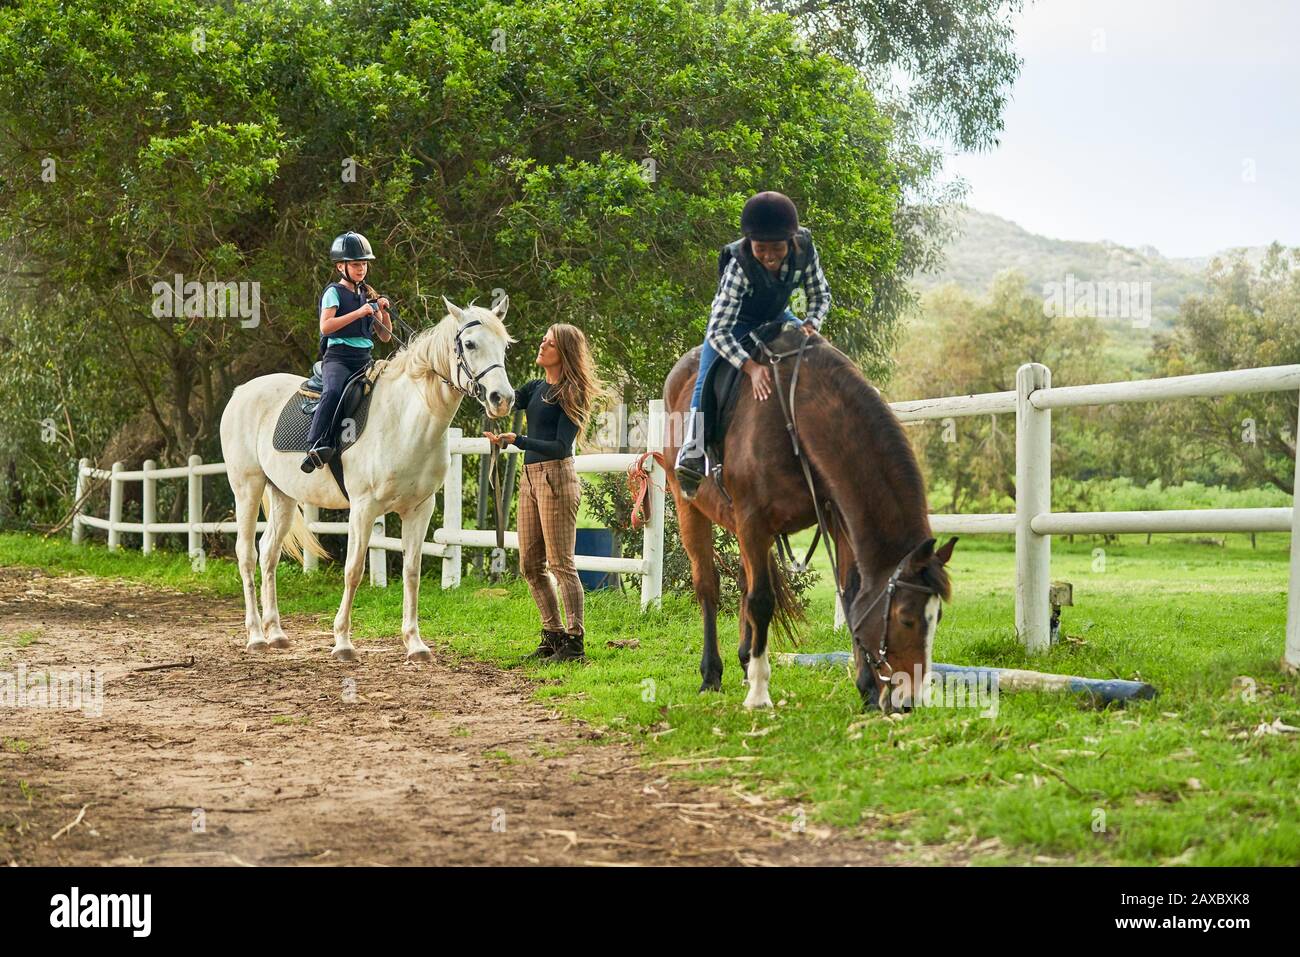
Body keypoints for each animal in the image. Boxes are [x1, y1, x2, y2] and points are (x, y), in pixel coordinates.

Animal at [218, 295, 512, 660]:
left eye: (504, 345)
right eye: (470, 344)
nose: (502, 399)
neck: (406, 420)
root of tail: (241, 392)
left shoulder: (420, 509)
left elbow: (411, 572)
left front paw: (415, 643)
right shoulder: (363, 508)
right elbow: (354, 570)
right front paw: (343, 642)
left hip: (282, 495)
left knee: (269, 552)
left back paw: (276, 633)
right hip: (248, 487)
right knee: (247, 554)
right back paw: (256, 635)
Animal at [660, 328, 956, 712]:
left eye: (937, 618)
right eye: (906, 618)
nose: (909, 701)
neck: (796, 417)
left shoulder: (837, 521)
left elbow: (852, 597)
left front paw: (867, 691)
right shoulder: (753, 522)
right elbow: (761, 600)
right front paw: (760, 693)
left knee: (742, 581)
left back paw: (744, 659)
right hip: (690, 507)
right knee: (709, 586)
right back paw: (712, 674)